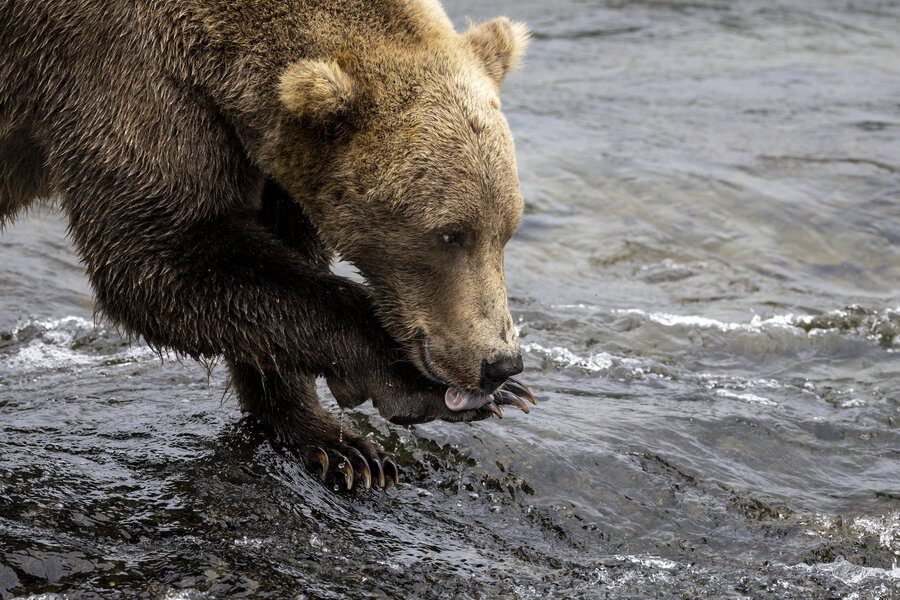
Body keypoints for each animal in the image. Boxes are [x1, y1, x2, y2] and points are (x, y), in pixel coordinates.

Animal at [0, 0, 536, 488]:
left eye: (506, 230)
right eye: (449, 234)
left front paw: (337, 445)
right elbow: (157, 257)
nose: (500, 364)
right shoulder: (122, 76)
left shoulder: (272, 167)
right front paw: (411, 383)